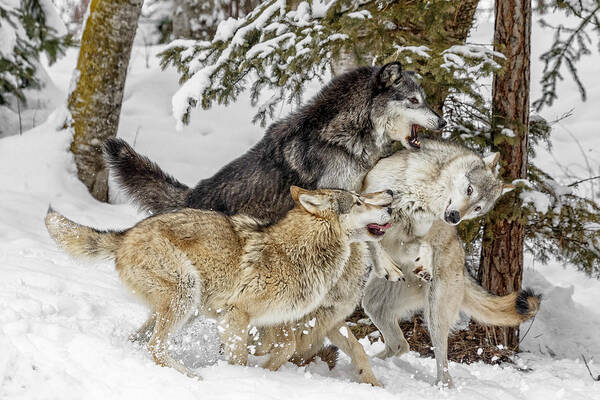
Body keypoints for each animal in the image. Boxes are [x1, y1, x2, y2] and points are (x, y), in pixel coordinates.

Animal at [45, 187, 394, 378]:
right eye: (359, 201)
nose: (391, 203)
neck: (300, 252)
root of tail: (126, 234)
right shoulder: (236, 315)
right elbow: (241, 357)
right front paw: (240, 377)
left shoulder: (278, 321)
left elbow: (284, 351)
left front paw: (264, 372)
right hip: (186, 294)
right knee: (156, 348)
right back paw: (193, 377)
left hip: (185, 309)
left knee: (141, 340)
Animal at [358, 140, 540, 388]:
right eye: (470, 190)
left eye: (478, 208)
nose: (454, 217)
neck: (422, 195)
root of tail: (463, 268)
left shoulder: (411, 235)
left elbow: (423, 243)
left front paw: (425, 262)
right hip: (373, 304)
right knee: (400, 345)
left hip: (435, 314)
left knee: (442, 364)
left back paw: (441, 387)